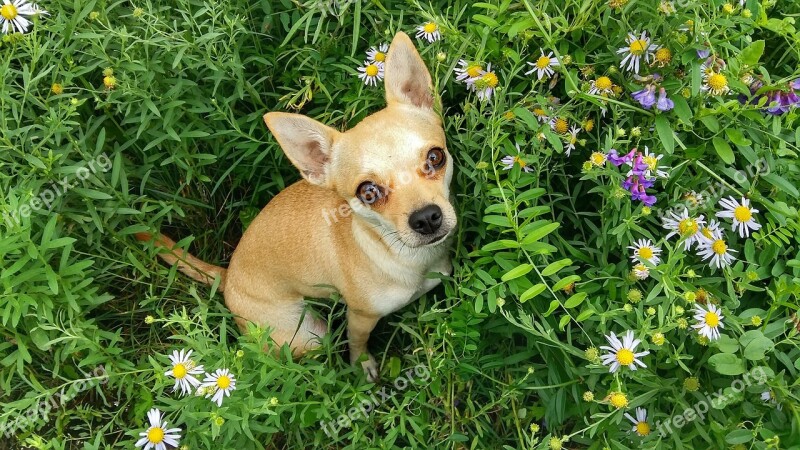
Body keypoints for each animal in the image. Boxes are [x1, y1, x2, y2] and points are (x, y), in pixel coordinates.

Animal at [136, 30, 456, 380]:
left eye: (435, 157)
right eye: (368, 193)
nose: (426, 218)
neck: (407, 257)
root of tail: (229, 276)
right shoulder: (359, 317)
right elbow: (357, 344)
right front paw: (363, 367)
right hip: (309, 334)